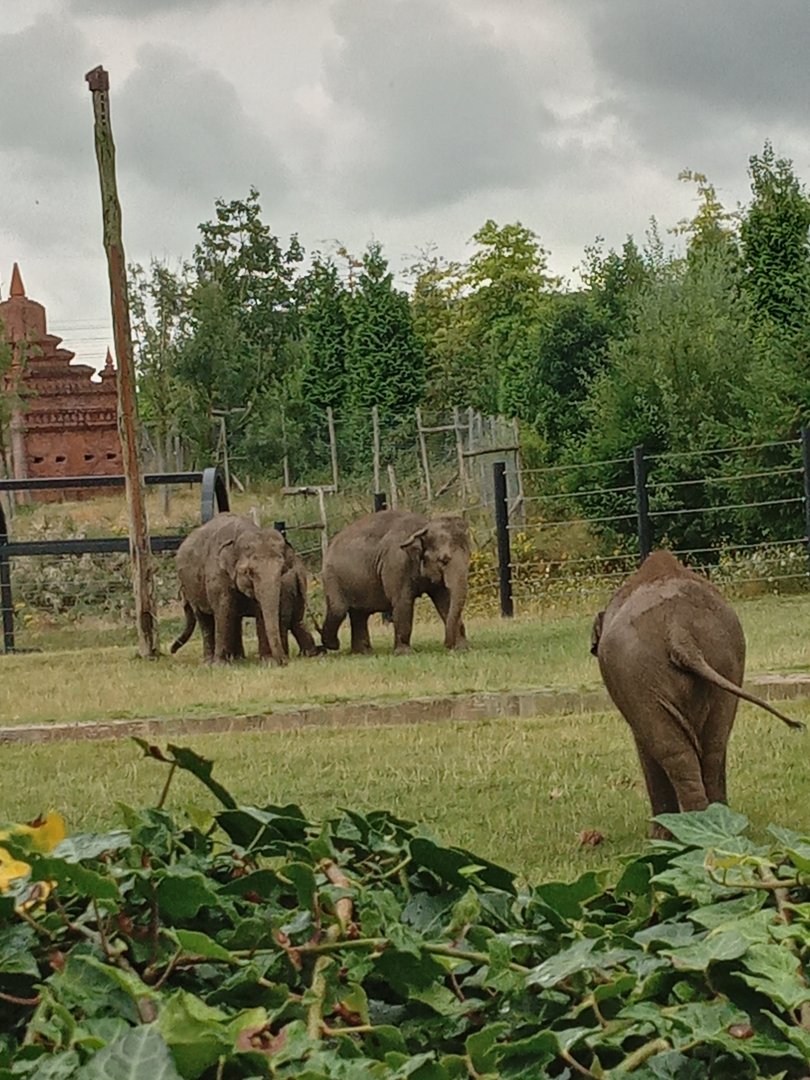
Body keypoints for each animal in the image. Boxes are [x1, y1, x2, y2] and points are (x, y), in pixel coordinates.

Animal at [170, 513, 297, 666]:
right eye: (249, 572)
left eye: (282, 570)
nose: (284, 661)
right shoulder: (217, 572)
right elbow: (223, 609)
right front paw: (220, 665)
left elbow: (260, 610)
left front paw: (268, 661)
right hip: (191, 587)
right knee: (204, 618)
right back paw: (209, 662)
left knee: (234, 616)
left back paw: (237, 658)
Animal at [171, 547, 319, 662]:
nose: (172, 650)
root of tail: (297, 571)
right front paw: (237, 658)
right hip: (298, 590)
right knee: (296, 621)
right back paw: (308, 654)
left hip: (287, 589)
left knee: (284, 621)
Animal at [321, 509, 470, 655]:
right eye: (443, 560)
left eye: (468, 558)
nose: (446, 644)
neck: (424, 526)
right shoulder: (396, 563)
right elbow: (403, 601)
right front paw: (404, 653)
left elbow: (444, 600)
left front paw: (462, 648)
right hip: (332, 577)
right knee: (339, 609)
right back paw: (334, 645)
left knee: (359, 614)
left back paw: (363, 652)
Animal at [591, 549, 803, 837]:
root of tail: (678, 630)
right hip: (724, 658)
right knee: (715, 744)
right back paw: (716, 824)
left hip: (638, 673)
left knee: (673, 752)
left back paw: (683, 833)